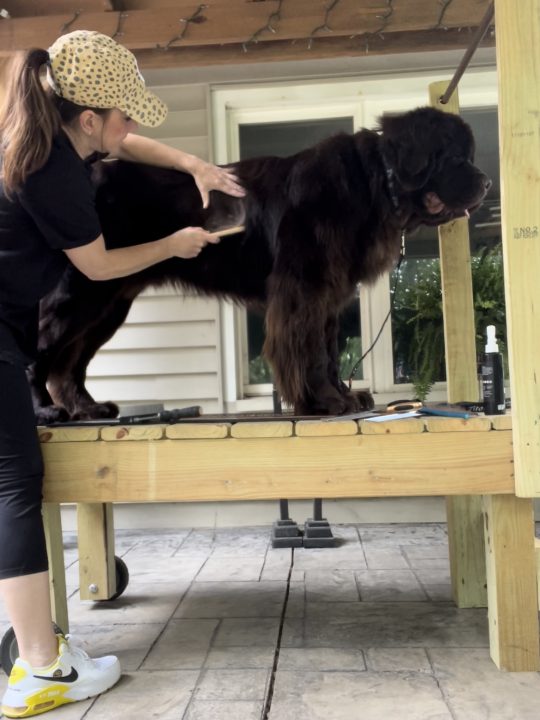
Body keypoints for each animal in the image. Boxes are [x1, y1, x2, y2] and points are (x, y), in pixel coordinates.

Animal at [31, 107, 492, 422]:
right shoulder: (304, 289)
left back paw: (88, 408)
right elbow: (309, 350)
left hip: (109, 303)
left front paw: (342, 398)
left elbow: (326, 350)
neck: (376, 183)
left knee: (70, 363)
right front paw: (326, 401)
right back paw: (46, 411)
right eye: (456, 159)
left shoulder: (328, 294)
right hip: (84, 294)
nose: (487, 182)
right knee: (42, 350)